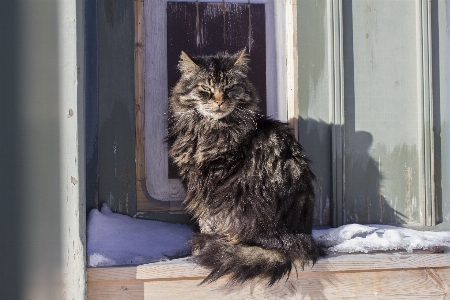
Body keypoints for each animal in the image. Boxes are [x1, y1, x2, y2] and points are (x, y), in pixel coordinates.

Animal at [167, 48, 322, 284]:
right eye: (205, 90)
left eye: (230, 89)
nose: (219, 101)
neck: (209, 130)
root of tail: (294, 239)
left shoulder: (213, 184)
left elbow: (207, 218)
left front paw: (203, 245)